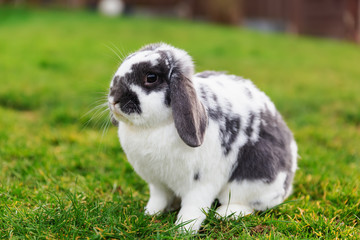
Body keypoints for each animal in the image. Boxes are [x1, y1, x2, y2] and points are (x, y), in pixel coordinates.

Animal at [107, 43, 298, 232]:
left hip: (254, 178)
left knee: (252, 204)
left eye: (151, 77)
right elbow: (158, 200)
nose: (114, 99)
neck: (153, 127)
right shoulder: (158, 184)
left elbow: (193, 207)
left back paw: (226, 213)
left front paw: (183, 229)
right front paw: (149, 214)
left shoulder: (202, 184)